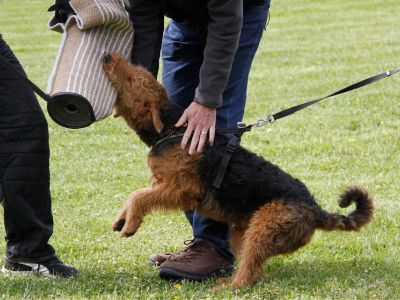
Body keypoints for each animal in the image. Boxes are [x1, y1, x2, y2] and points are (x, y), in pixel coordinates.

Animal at [101, 52, 374, 288]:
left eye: (132, 80)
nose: (106, 56)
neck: (172, 130)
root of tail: (316, 210)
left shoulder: (182, 189)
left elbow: (138, 196)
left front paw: (129, 225)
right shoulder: (162, 184)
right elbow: (135, 196)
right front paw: (121, 219)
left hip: (262, 230)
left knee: (248, 273)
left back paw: (226, 287)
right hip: (243, 232)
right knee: (253, 268)